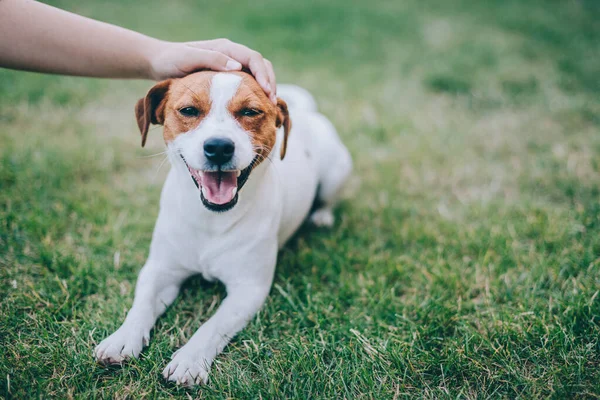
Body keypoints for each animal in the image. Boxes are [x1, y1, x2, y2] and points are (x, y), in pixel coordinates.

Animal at [94, 70, 352, 386]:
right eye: (188, 110)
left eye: (250, 111)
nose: (218, 147)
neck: (211, 219)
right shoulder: (160, 271)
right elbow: (141, 305)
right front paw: (122, 338)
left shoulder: (249, 289)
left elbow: (212, 325)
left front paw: (190, 359)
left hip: (337, 173)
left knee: (328, 198)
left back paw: (322, 216)